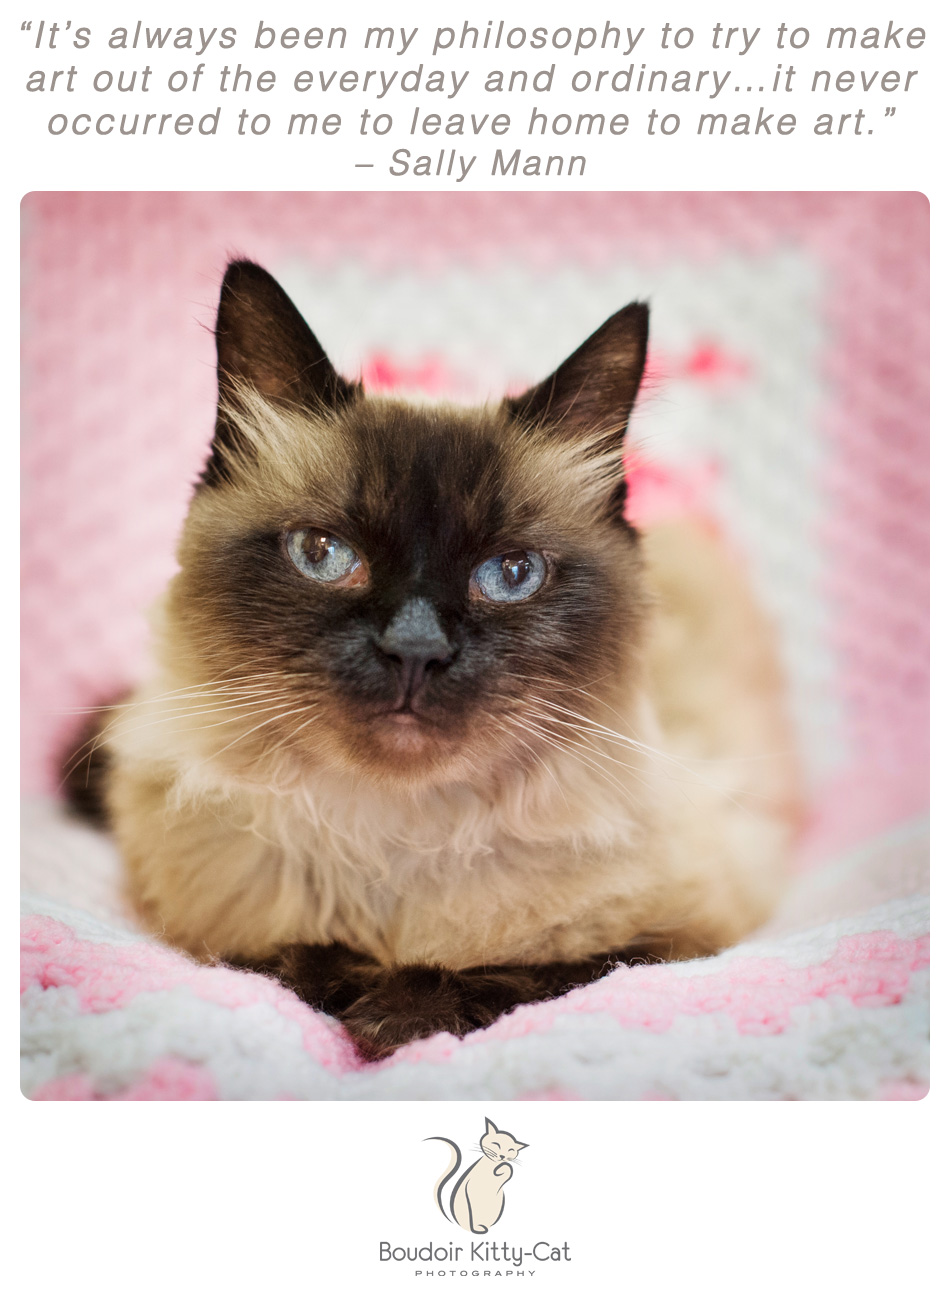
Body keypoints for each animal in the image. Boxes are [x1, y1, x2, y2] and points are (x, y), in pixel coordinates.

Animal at [64, 259, 800, 1057]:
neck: (397, 839)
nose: (415, 650)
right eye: (323, 555)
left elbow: (533, 969)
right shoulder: (215, 931)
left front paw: (398, 1018)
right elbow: (301, 957)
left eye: (511, 574)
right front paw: (365, 994)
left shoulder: (679, 939)